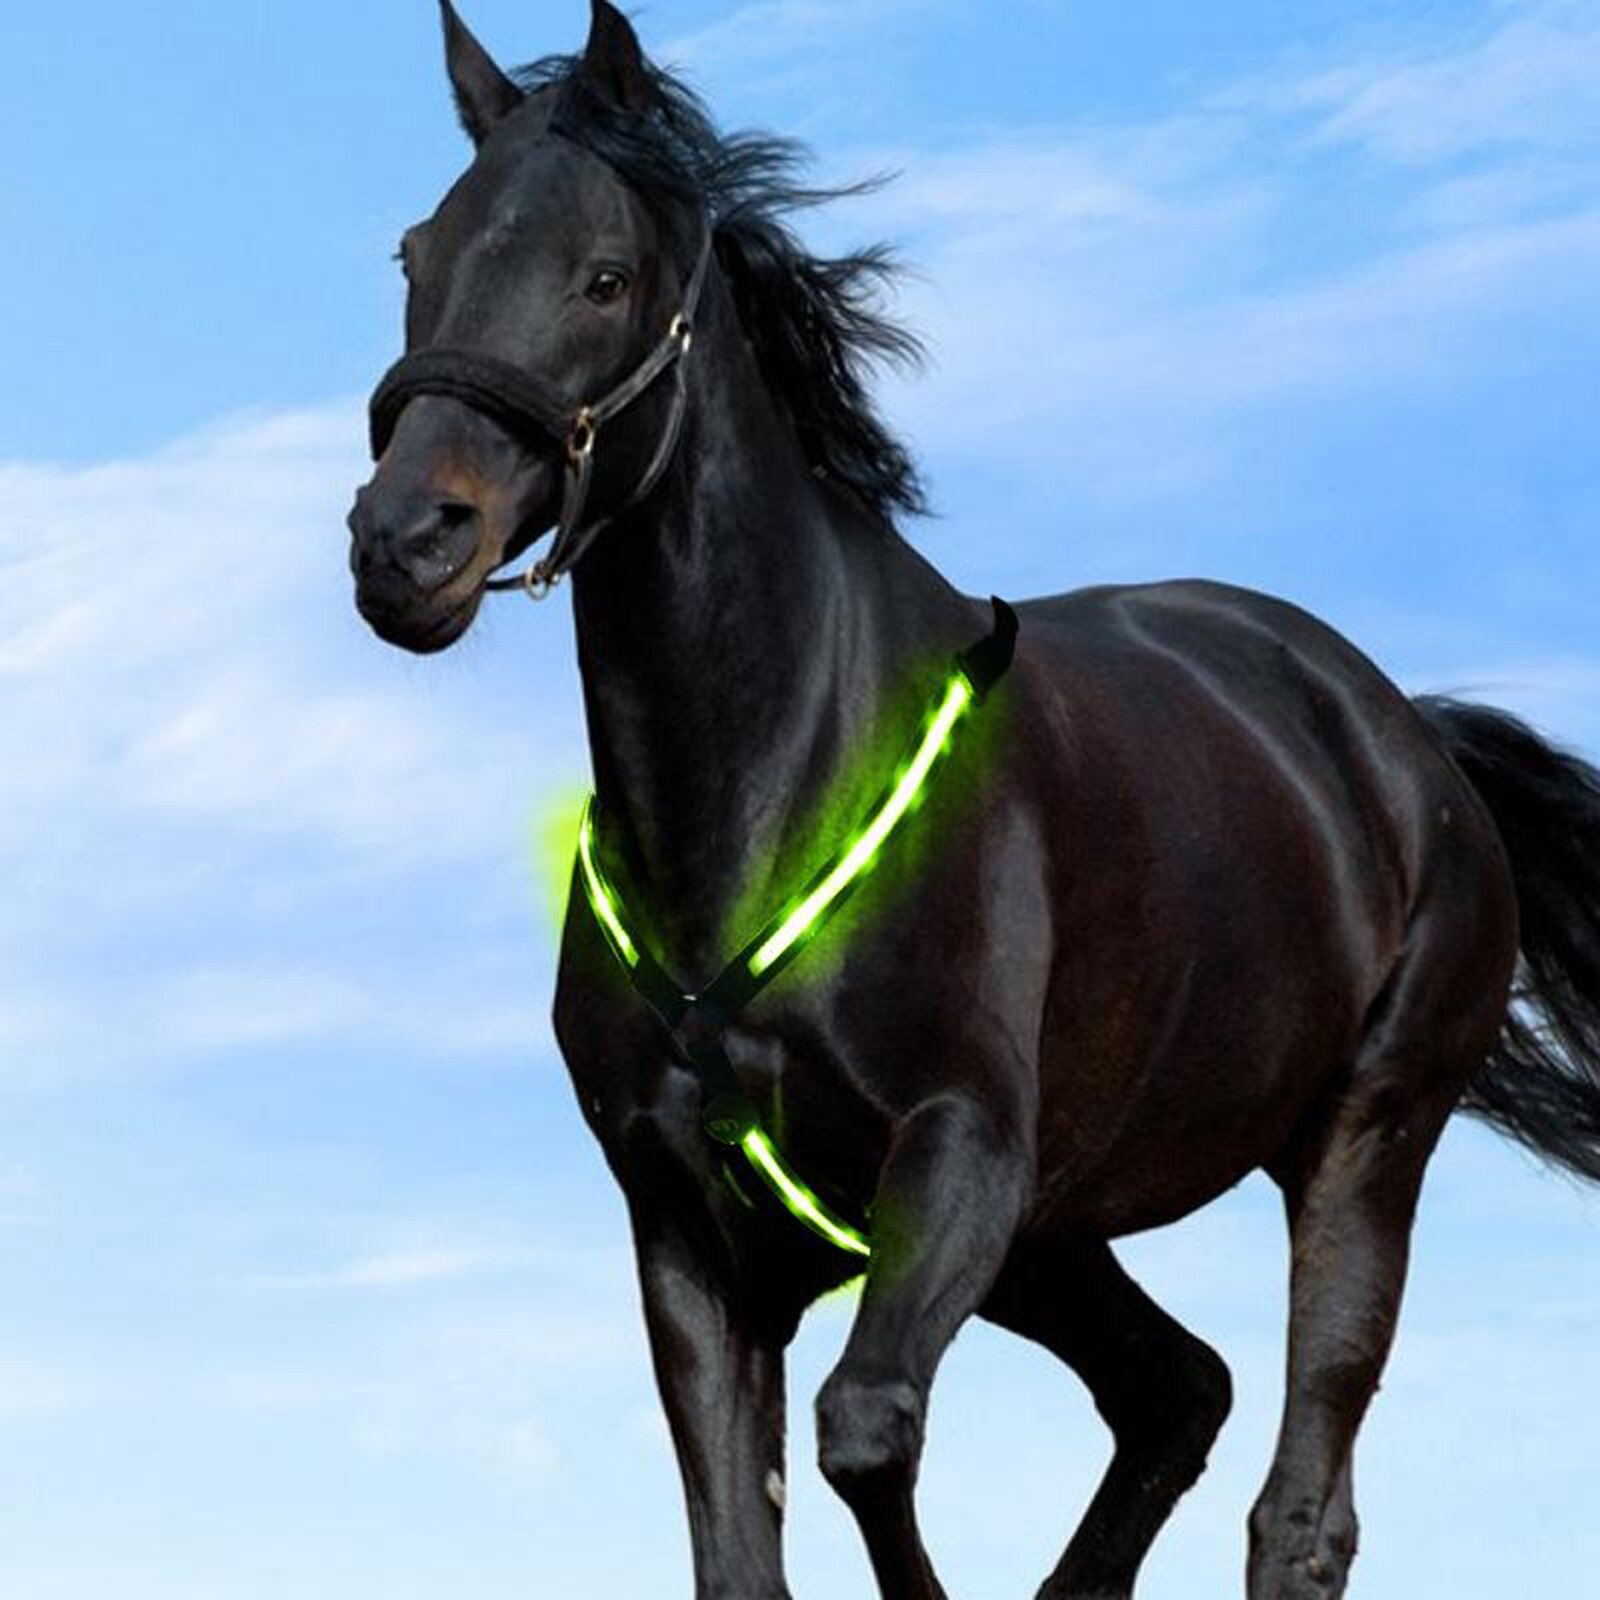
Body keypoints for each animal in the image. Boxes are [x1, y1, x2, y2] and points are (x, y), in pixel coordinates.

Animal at [346, 5, 1600, 1596]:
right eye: (417, 254)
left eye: (604, 275)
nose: (405, 543)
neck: (765, 801)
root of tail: (1402, 738)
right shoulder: (688, 1226)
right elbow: (740, 1545)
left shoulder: (957, 1156)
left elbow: (864, 1429)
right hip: (1061, 1235)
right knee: (1177, 1389)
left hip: (1361, 1140)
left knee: (1298, 1504)